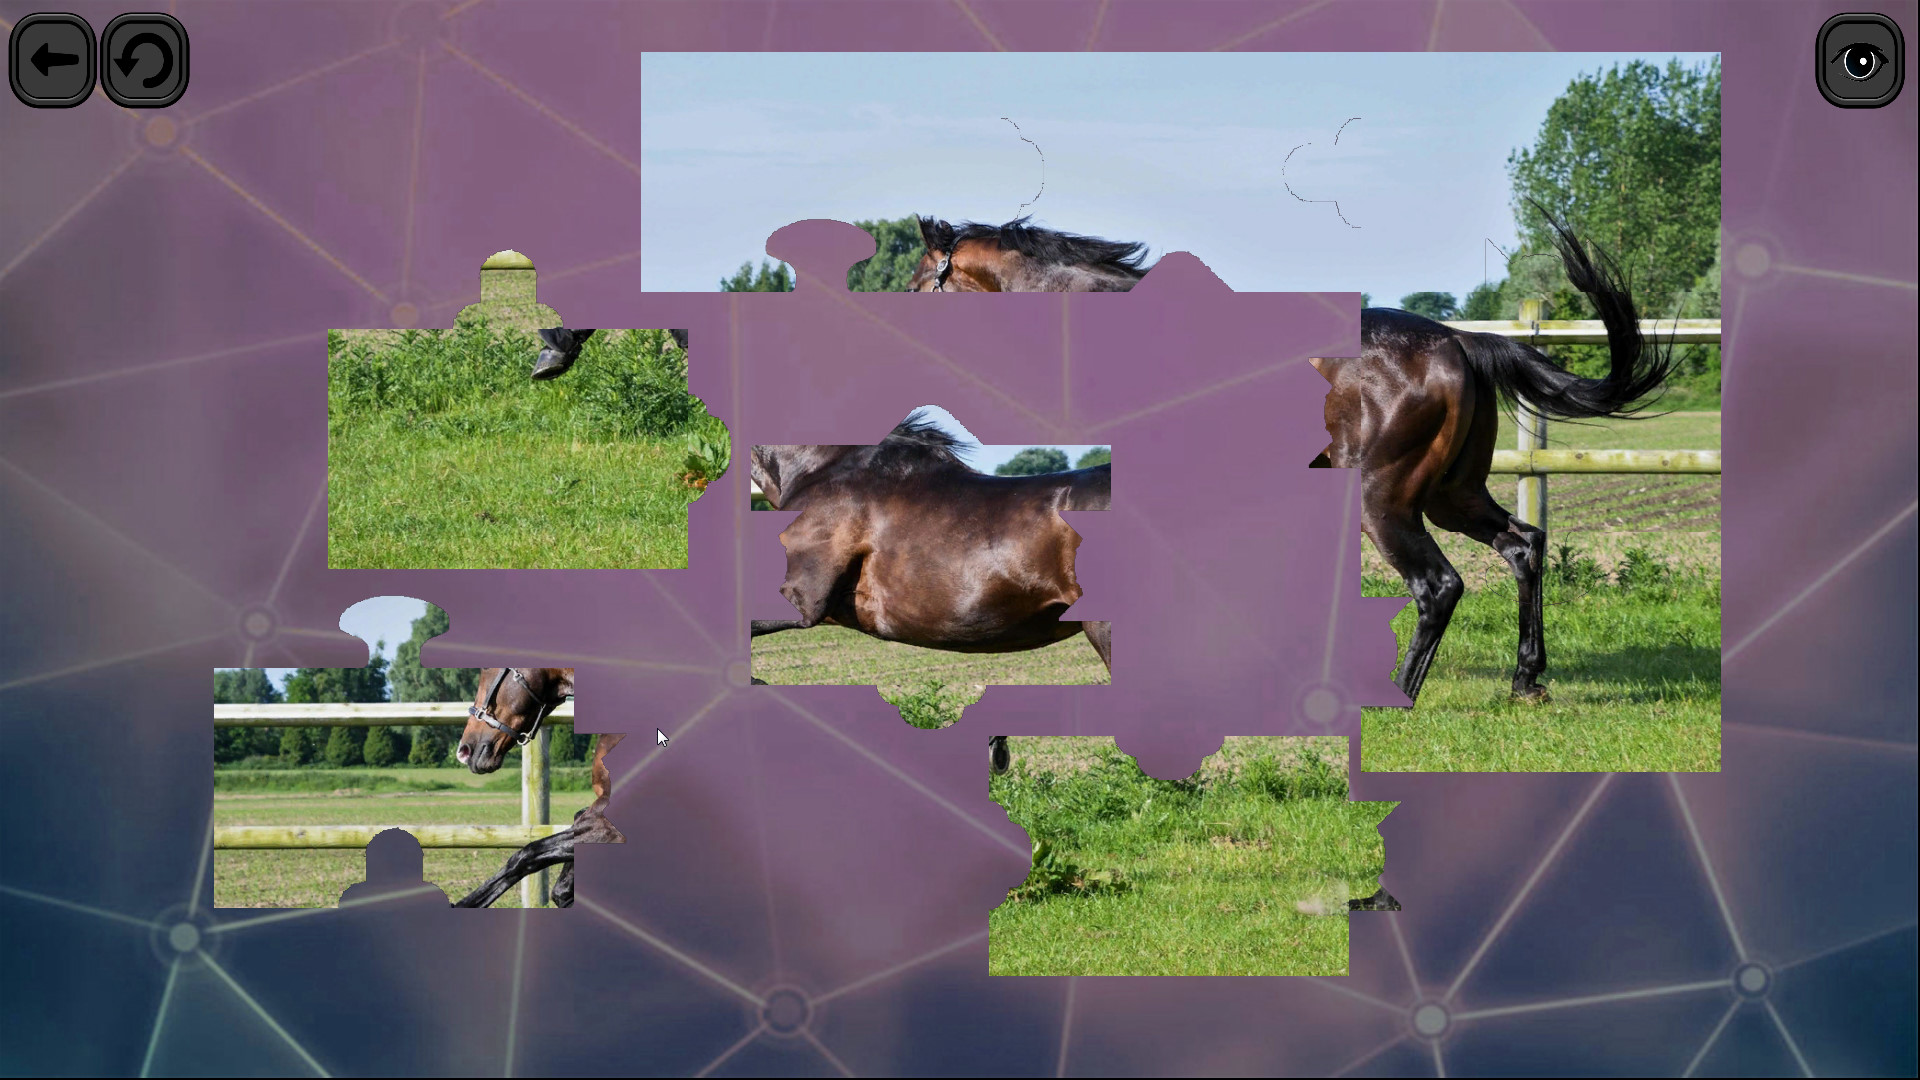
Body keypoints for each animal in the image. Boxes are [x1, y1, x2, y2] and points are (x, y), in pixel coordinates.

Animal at [909, 208, 1675, 704]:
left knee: (1439, 585)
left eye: (919, 281)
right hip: (1451, 494)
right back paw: (1526, 680)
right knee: (1523, 546)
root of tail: (1460, 341)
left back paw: (1394, 695)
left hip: (1385, 500)